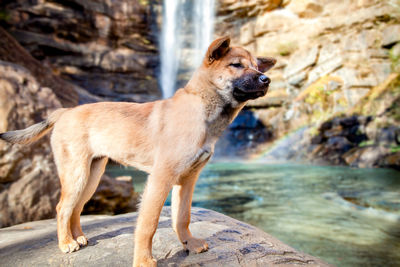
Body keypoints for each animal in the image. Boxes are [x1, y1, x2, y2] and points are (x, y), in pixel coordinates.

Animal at [0, 36, 276, 267]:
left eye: (258, 68)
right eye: (236, 65)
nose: (267, 80)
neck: (200, 109)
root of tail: (64, 111)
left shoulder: (187, 180)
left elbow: (182, 217)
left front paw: (189, 244)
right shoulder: (160, 178)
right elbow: (148, 224)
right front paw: (144, 261)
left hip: (91, 175)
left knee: (76, 208)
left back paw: (78, 238)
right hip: (76, 173)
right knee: (62, 208)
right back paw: (66, 243)